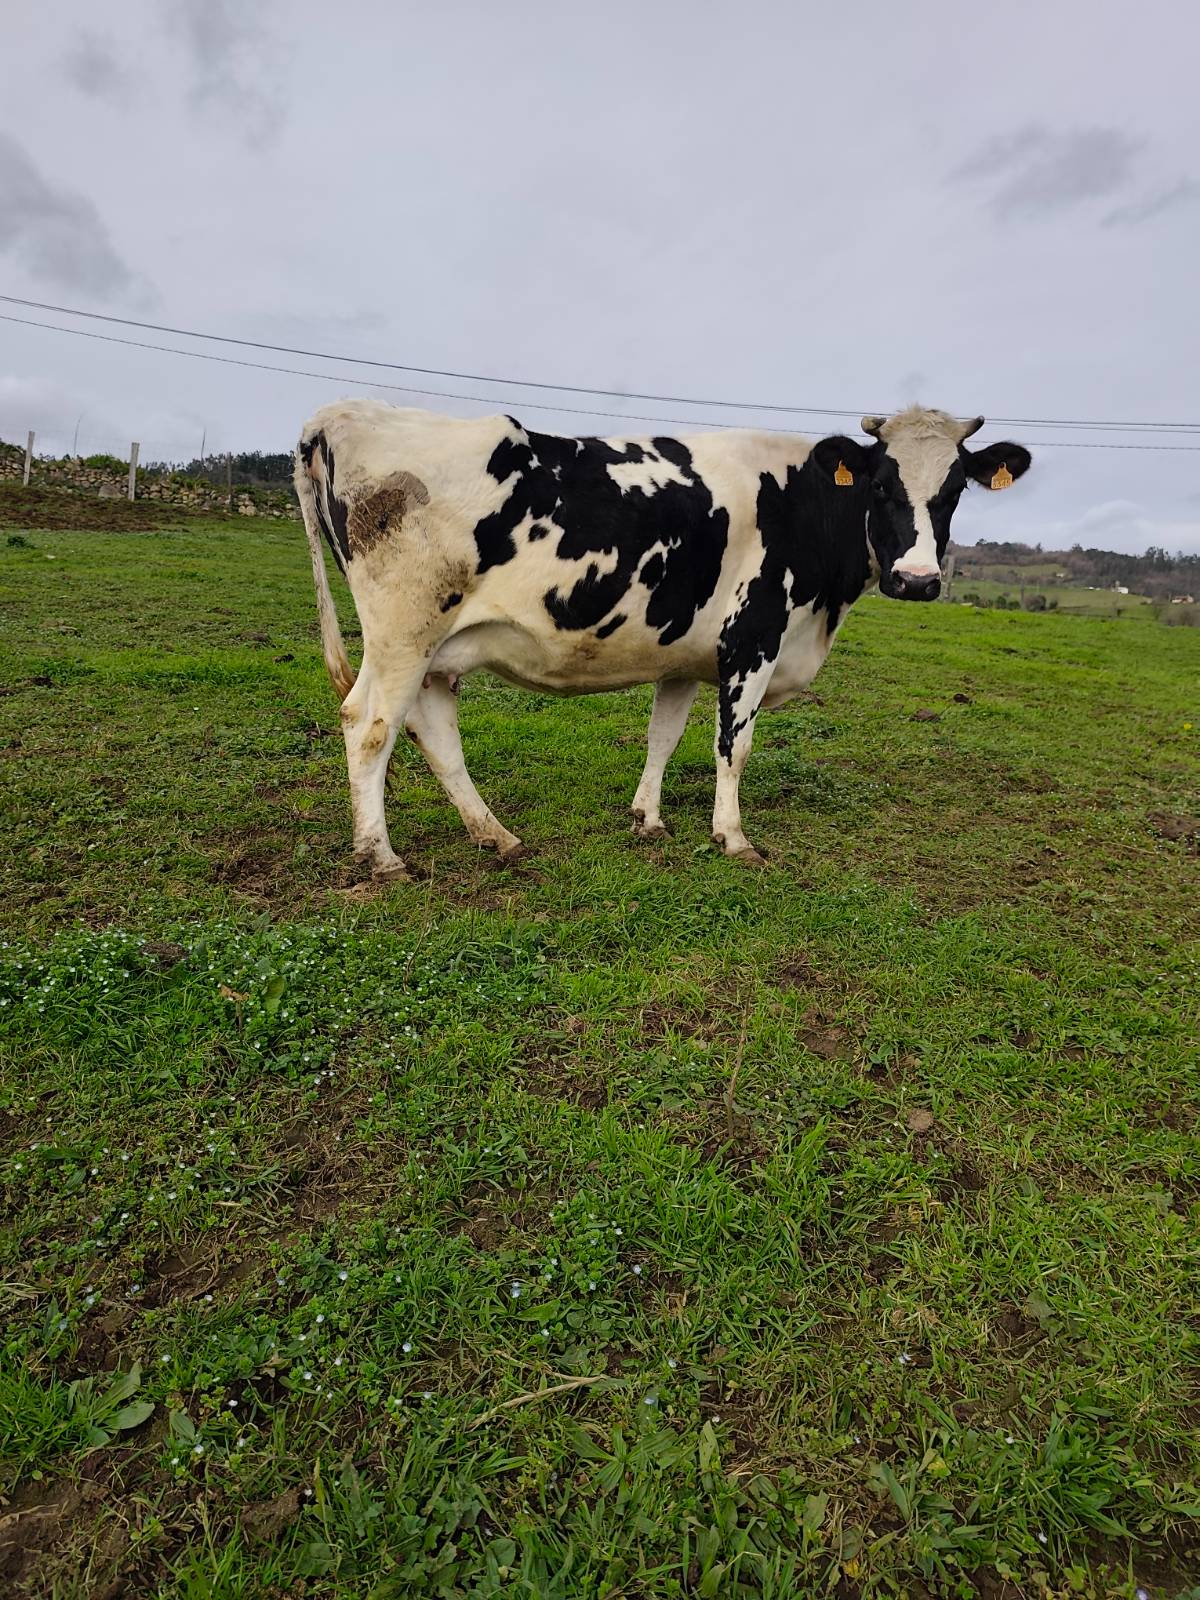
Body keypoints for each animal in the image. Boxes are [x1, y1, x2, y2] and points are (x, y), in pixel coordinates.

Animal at [295, 400, 1031, 879]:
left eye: (955, 489)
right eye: (880, 485)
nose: (918, 580)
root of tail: (344, 411)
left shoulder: (684, 653)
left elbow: (664, 735)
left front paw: (647, 818)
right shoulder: (753, 640)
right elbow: (734, 745)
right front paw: (732, 837)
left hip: (436, 649)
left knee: (434, 733)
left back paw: (496, 836)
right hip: (403, 632)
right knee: (368, 725)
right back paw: (381, 855)